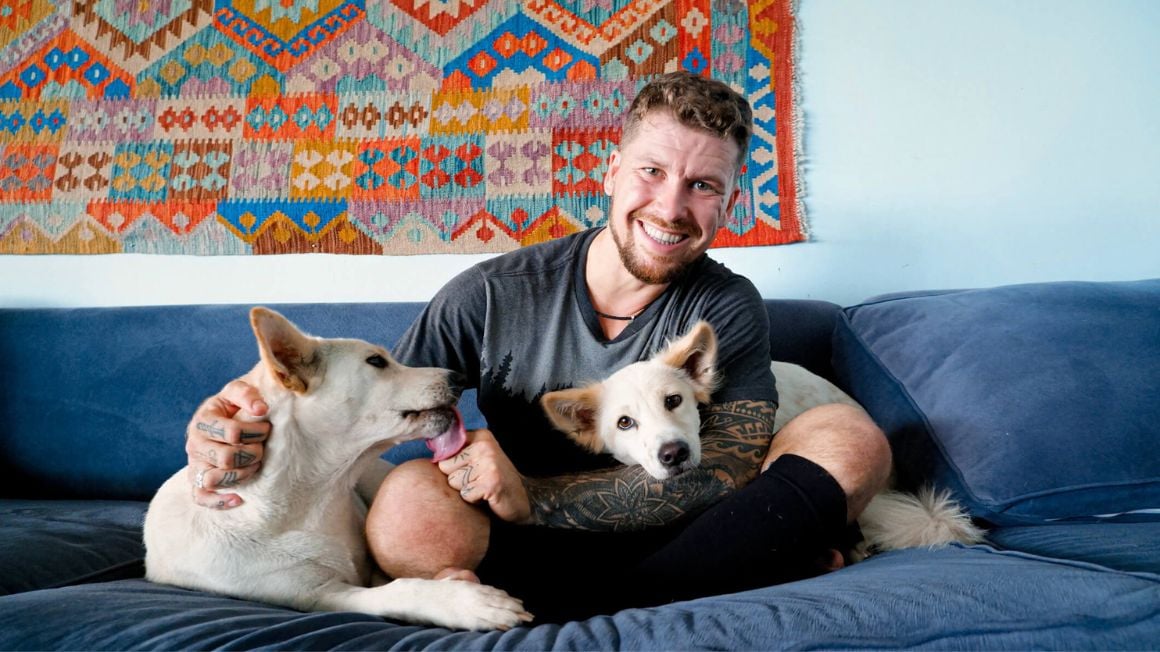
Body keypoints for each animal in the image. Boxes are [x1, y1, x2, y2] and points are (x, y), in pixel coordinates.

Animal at [141, 306, 533, 626]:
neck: (312, 499)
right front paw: (468, 603)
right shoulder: (321, 594)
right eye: (376, 361)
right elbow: (400, 589)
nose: (459, 378)